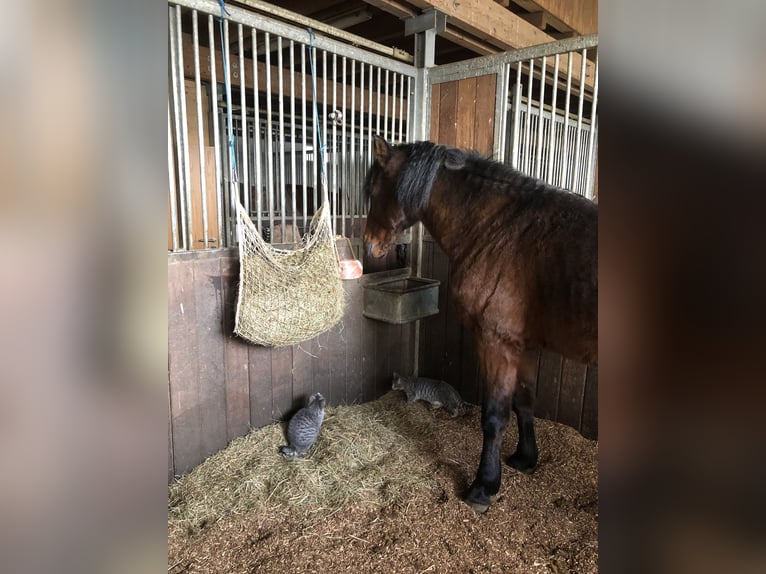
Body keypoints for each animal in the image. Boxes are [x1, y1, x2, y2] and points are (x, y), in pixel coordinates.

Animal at [366, 137, 600, 516]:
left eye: (374, 190)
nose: (370, 244)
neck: (500, 230)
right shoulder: (523, 344)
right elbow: (525, 401)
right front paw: (524, 459)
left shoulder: (495, 342)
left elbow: (494, 417)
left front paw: (482, 487)